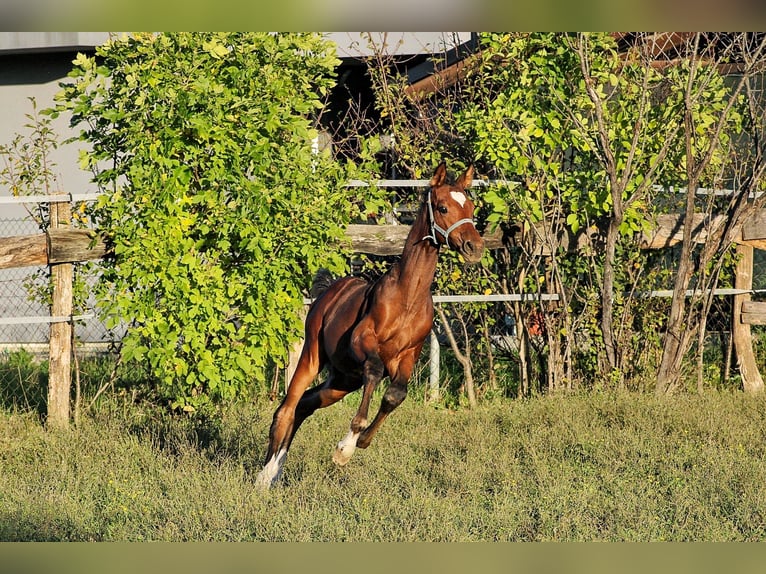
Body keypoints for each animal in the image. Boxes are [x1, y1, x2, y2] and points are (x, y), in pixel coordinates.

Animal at [255, 162, 485, 489]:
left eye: (470, 206)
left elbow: (395, 394)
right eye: (442, 207)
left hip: (342, 381)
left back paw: (277, 471)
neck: (408, 297)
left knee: (305, 405)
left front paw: (360, 442)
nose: (474, 246)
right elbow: (375, 371)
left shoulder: (409, 355)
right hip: (312, 356)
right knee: (287, 408)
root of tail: (329, 292)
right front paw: (344, 449)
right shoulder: (362, 342)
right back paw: (264, 476)